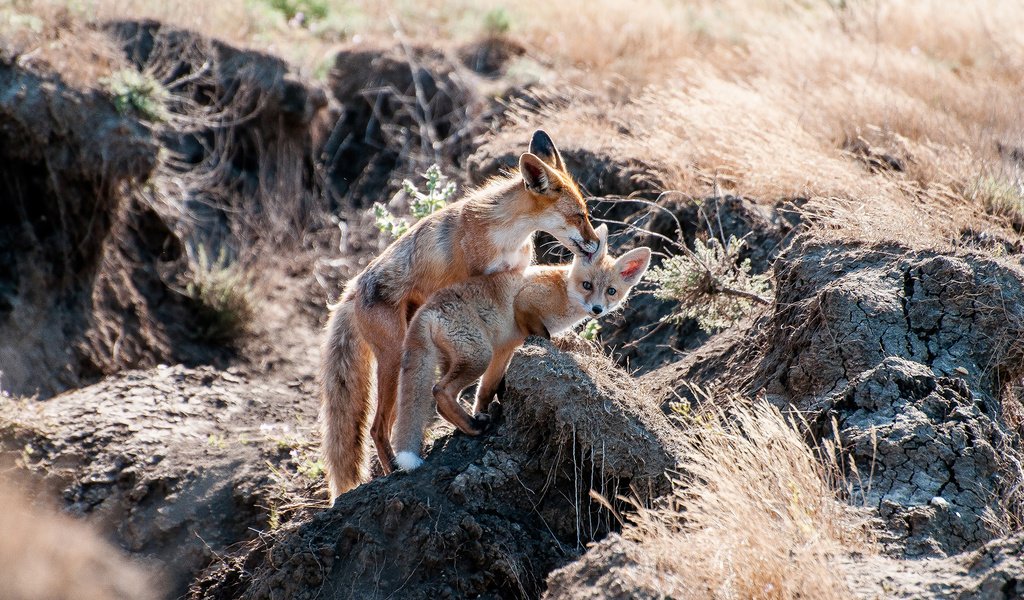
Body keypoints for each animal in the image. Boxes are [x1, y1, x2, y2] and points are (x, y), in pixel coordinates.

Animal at [315, 131, 598, 499]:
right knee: (378, 427)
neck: (507, 234)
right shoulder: (478, 280)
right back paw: (394, 470)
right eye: (579, 216)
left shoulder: (514, 275)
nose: (596, 244)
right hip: (393, 359)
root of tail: (350, 289)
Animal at [387, 223, 651, 466]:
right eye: (587, 285)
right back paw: (473, 428)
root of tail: (426, 308)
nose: (597, 309)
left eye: (611, 291)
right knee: (440, 391)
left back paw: (468, 424)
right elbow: (544, 336)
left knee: (443, 398)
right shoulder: (525, 302)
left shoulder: (504, 348)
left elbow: (486, 390)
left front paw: (485, 408)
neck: (563, 291)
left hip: (466, 357)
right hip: (478, 356)